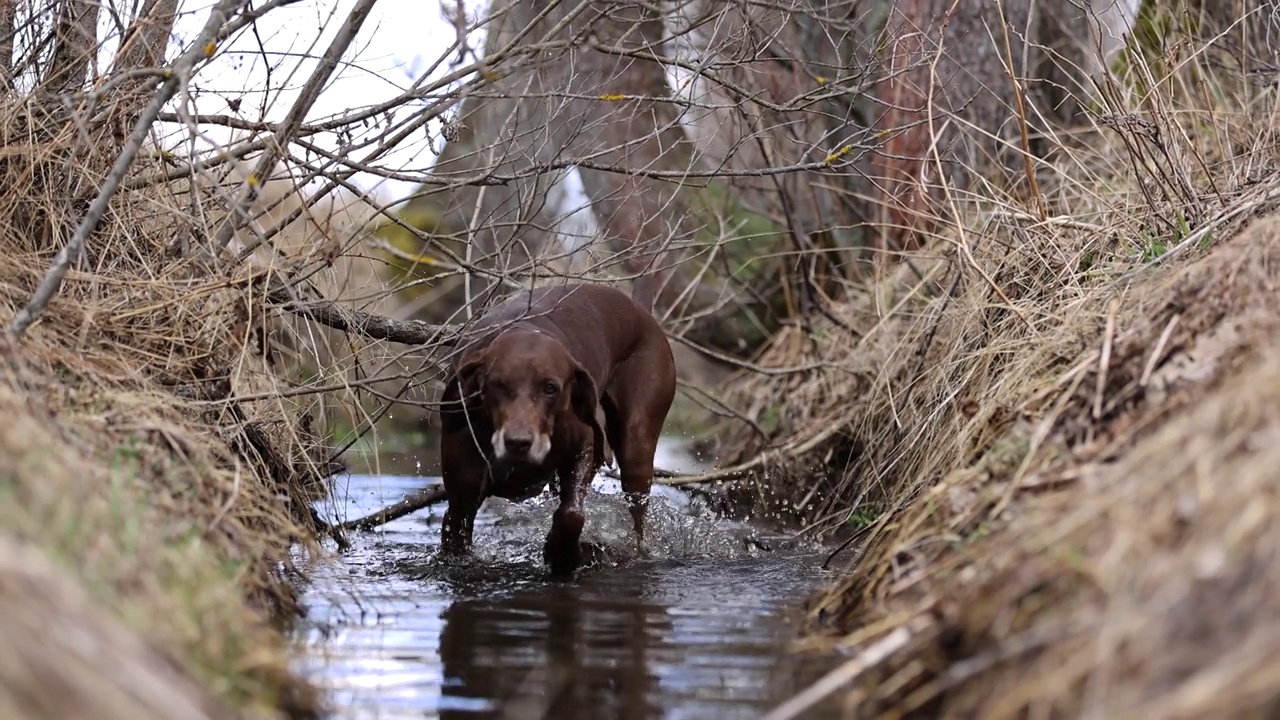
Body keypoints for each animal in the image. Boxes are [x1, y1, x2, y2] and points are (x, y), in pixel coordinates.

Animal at [437, 280, 680, 571]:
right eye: (498, 385)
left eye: (550, 388)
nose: (518, 443)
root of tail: (640, 310)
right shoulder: (462, 498)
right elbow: (456, 531)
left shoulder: (585, 449)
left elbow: (572, 513)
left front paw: (562, 553)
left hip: (636, 449)